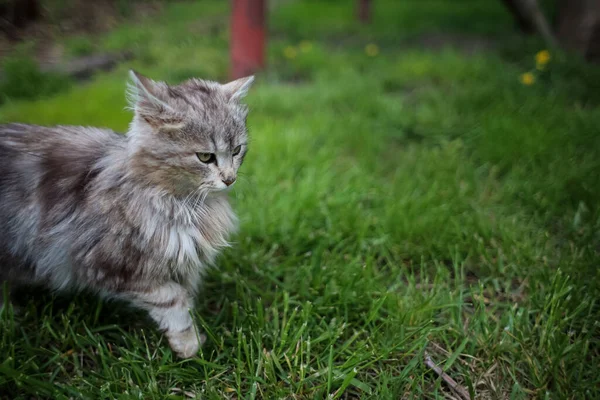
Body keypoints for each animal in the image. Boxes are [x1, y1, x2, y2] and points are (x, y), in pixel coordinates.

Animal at [0, 70, 254, 358]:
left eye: (236, 151)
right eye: (204, 157)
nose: (230, 179)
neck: (182, 204)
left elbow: (186, 296)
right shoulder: (111, 265)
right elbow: (174, 301)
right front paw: (190, 348)